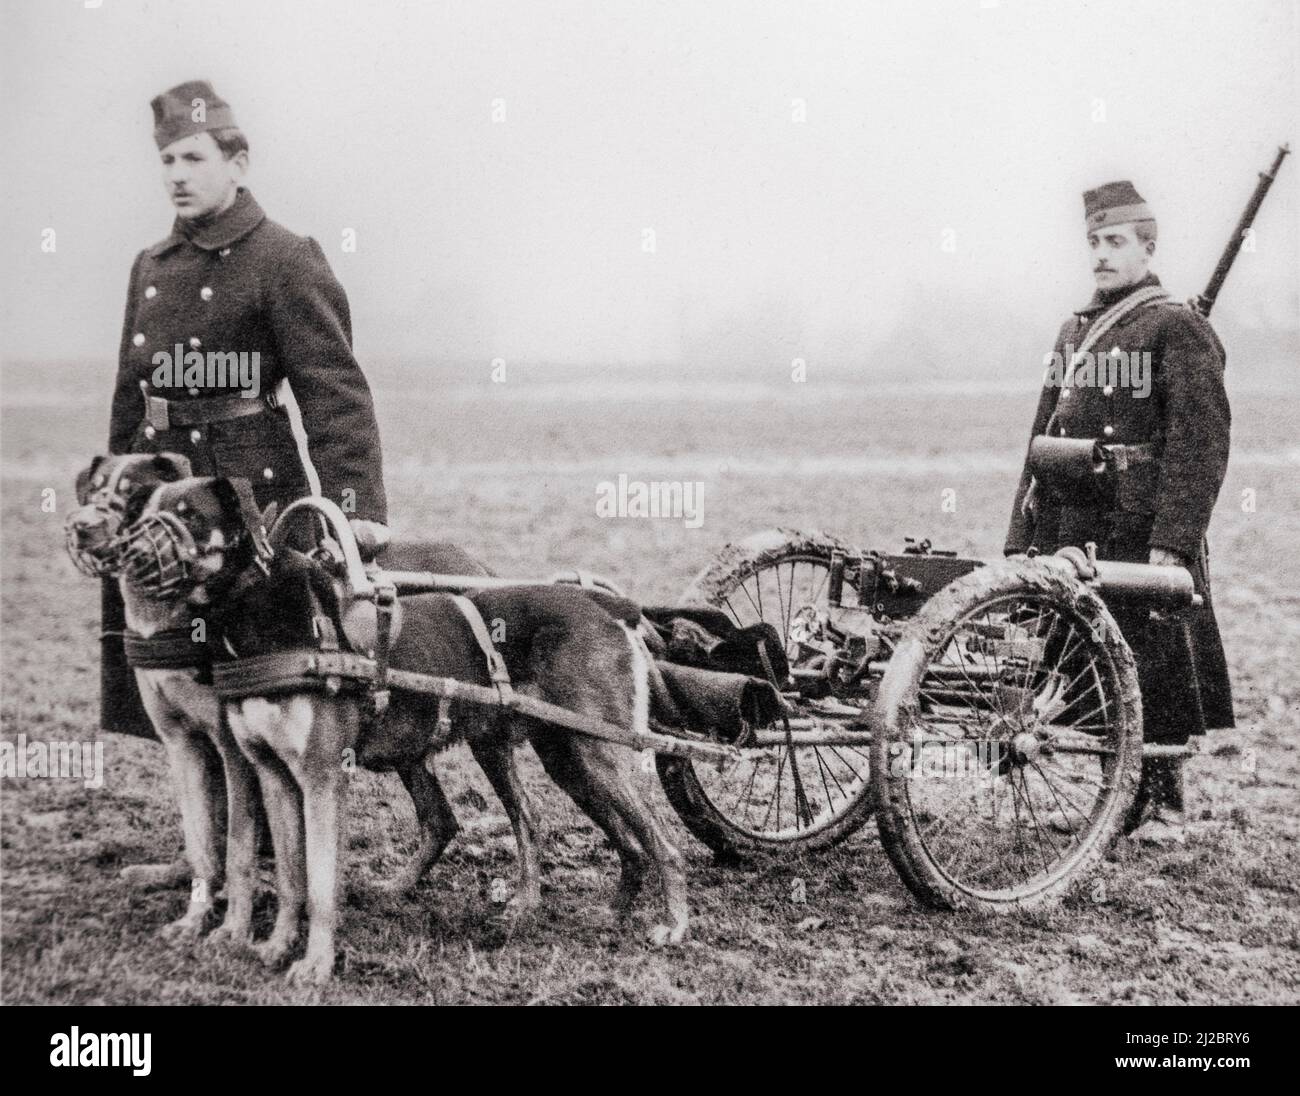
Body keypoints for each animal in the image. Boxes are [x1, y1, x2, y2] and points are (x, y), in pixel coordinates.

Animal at [131, 478, 691, 988]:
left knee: (661, 844)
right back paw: (585, 911)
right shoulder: (272, 775)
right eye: (146, 506)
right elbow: (291, 877)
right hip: (562, 757)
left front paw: (315, 966)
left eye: (191, 512)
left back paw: (673, 925)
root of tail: (611, 609)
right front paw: (274, 946)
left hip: (600, 756)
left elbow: (320, 885)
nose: (132, 552)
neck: (266, 616)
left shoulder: (321, 778)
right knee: (570, 830)